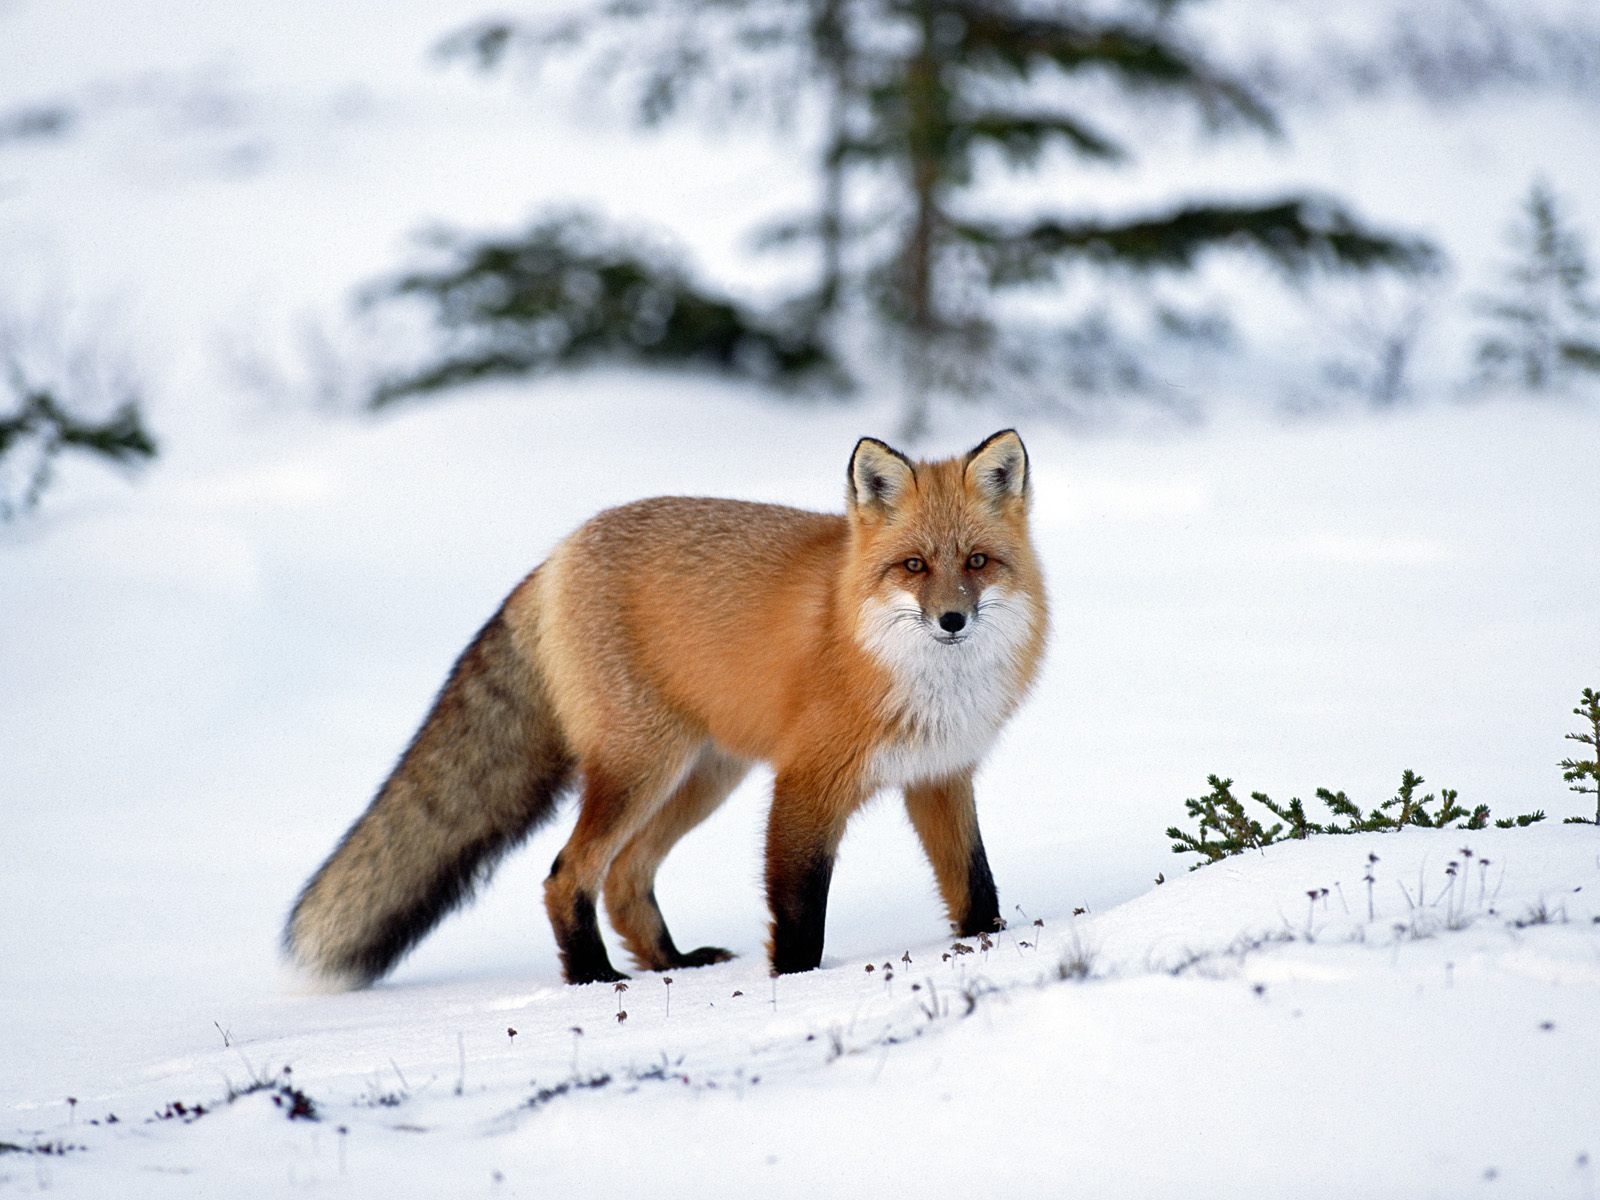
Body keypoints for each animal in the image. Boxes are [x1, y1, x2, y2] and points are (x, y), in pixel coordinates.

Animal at [285, 429, 1048, 987]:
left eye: (977, 562)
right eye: (914, 566)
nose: (952, 620)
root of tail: (558, 553)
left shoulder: (938, 775)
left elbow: (976, 886)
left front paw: (989, 947)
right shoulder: (806, 783)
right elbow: (799, 908)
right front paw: (796, 985)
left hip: (703, 777)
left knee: (625, 877)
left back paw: (670, 964)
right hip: (642, 768)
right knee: (568, 873)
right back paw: (593, 977)